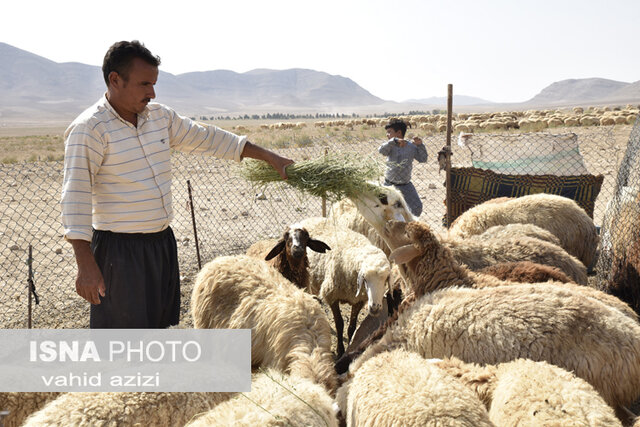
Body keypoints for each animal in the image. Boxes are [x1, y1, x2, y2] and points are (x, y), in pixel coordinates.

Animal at [298, 217, 392, 358]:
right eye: (365, 278)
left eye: (386, 280)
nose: (375, 308)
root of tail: (310, 218)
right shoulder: (332, 296)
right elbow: (339, 324)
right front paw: (340, 350)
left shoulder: (358, 300)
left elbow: (351, 328)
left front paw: (348, 347)